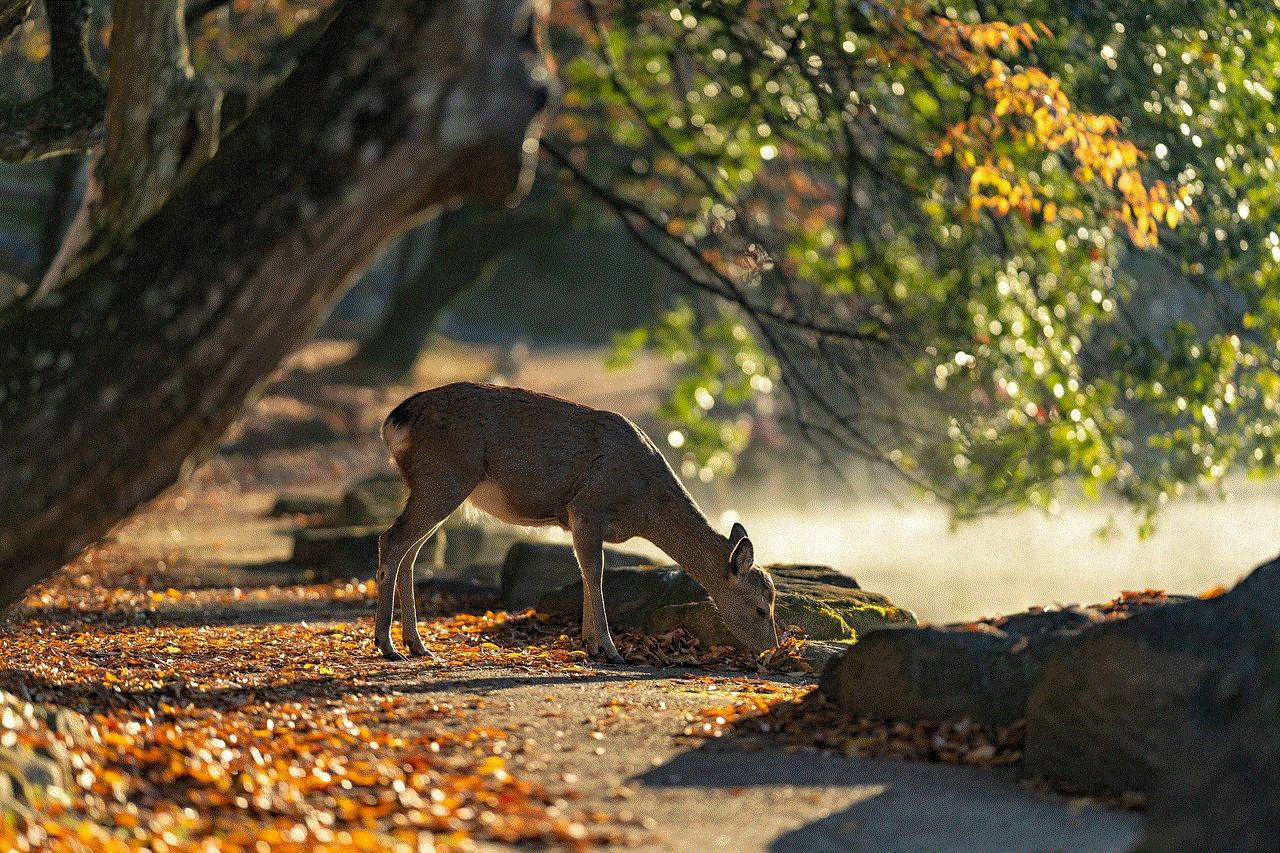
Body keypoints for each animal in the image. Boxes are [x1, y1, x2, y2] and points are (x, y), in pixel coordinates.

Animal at [373, 379, 778, 666]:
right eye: (762, 608)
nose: (772, 649)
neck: (640, 504)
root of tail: (393, 422)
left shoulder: (574, 519)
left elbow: (584, 571)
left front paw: (590, 644)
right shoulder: (588, 507)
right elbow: (595, 571)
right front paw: (610, 650)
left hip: (434, 486)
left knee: (410, 552)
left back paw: (417, 645)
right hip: (444, 478)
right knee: (391, 541)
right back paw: (387, 645)